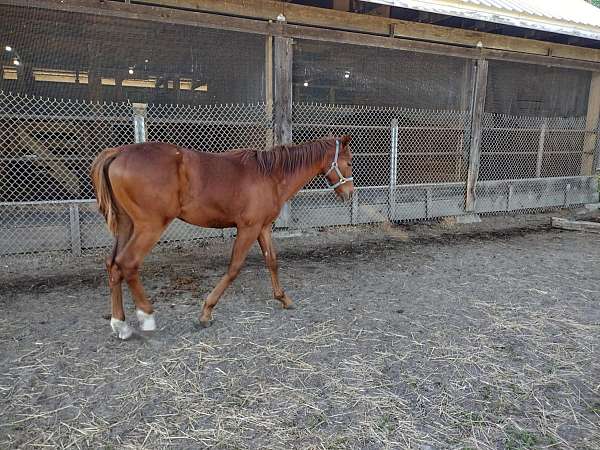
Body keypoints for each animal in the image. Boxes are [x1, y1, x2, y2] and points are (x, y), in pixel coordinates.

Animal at [91, 135, 354, 340]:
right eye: (349, 162)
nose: (350, 193)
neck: (270, 175)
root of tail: (119, 153)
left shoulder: (262, 228)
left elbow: (272, 261)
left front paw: (283, 298)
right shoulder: (248, 228)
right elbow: (234, 267)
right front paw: (206, 311)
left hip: (127, 225)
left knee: (113, 265)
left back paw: (120, 325)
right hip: (150, 227)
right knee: (128, 263)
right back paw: (146, 316)